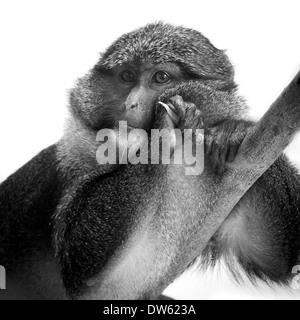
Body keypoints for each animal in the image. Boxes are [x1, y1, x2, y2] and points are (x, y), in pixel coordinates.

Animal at [0, 23, 298, 300]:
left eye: (161, 77)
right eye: (127, 76)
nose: (131, 104)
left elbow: (277, 257)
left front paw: (233, 129)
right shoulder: (71, 165)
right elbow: (82, 261)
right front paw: (160, 130)